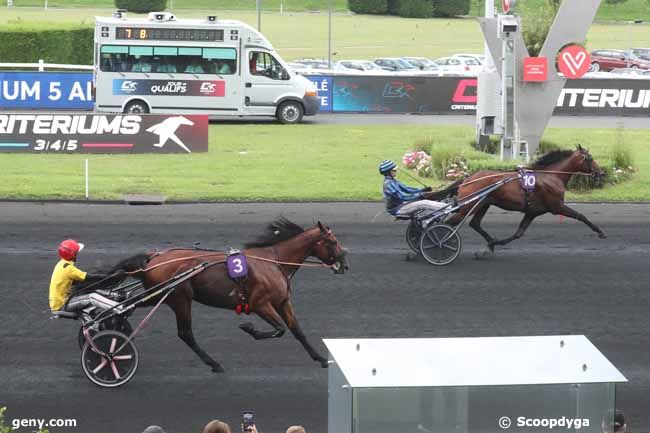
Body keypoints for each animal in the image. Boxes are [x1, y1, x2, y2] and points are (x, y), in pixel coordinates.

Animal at [110, 219, 350, 372]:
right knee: (185, 333)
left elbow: (297, 331)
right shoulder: (260, 304)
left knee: (128, 305)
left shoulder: (283, 302)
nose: (345, 265)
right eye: (333, 242)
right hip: (179, 298)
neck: (274, 262)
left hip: (158, 295)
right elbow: (279, 329)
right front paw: (249, 328)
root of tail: (153, 258)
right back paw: (214, 364)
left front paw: (320, 358)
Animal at [430, 146, 608, 253]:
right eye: (590, 158)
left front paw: (496, 243)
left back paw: (490, 242)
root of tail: (468, 179)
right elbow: (581, 216)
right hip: (469, 206)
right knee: (448, 223)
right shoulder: (557, 206)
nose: (601, 173)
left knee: (474, 223)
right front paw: (600, 232)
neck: (551, 176)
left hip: (483, 204)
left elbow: (519, 233)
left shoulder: (532, 212)